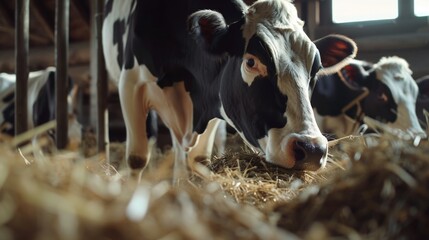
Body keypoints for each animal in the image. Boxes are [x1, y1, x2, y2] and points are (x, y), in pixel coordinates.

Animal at [102, 0, 356, 177]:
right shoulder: (131, 85)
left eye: (316, 70)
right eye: (251, 62)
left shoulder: (213, 100)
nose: (312, 149)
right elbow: (137, 158)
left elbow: (199, 160)